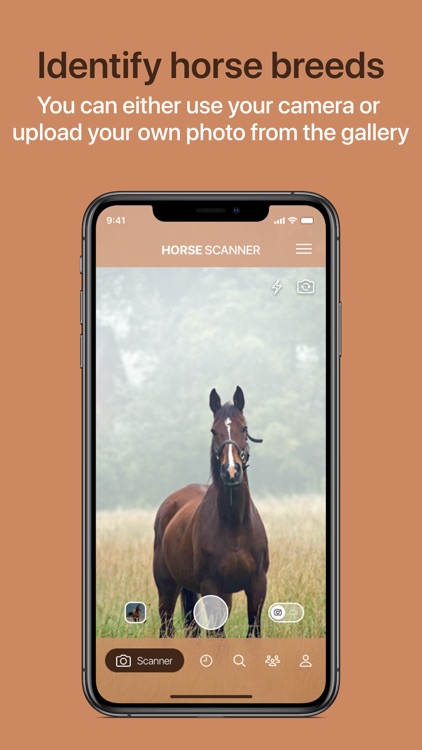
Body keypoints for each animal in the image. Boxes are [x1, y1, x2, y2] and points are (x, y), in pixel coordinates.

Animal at [153, 386, 269, 638]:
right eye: (214, 430)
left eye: (244, 428)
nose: (231, 471)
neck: (234, 526)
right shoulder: (210, 587)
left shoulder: (257, 586)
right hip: (167, 588)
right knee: (167, 628)